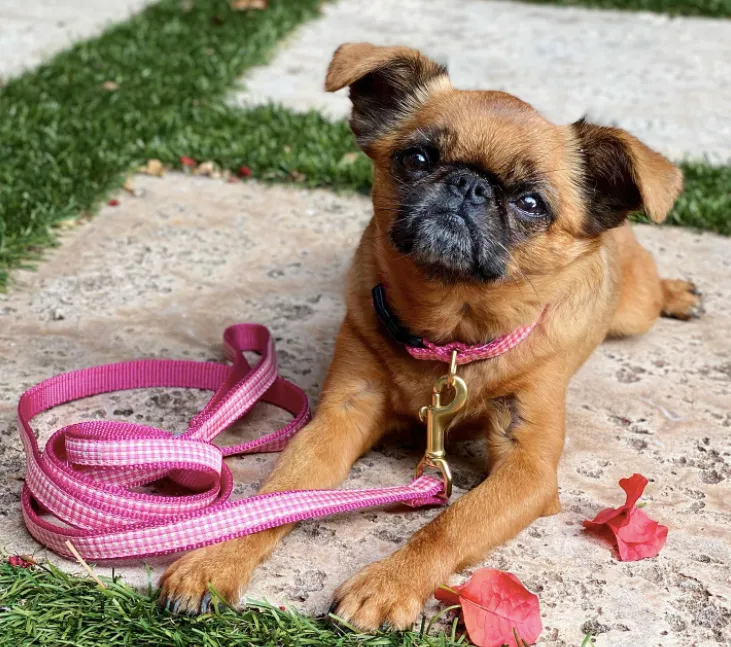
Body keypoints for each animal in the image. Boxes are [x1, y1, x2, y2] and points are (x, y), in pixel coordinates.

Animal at [162, 43, 704, 632]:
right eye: (417, 159)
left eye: (531, 203)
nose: (469, 185)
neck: (452, 336)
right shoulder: (340, 416)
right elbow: (282, 492)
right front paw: (217, 561)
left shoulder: (528, 470)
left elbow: (453, 522)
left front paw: (389, 582)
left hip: (633, 309)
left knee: (651, 295)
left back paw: (679, 293)